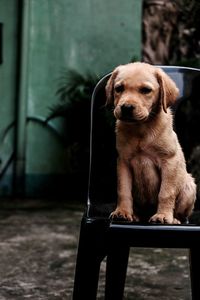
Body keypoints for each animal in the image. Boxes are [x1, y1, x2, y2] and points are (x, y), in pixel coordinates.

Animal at [105, 62, 196, 224]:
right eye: (119, 88)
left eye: (146, 90)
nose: (126, 107)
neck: (141, 129)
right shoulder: (123, 162)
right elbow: (123, 190)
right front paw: (122, 212)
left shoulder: (169, 161)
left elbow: (166, 192)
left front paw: (163, 215)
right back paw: (135, 215)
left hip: (189, 187)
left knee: (182, 214)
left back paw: (174, 219)